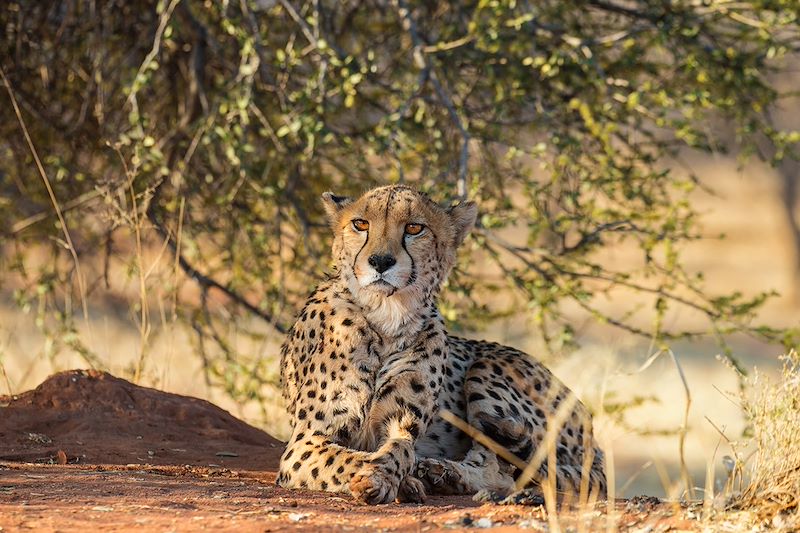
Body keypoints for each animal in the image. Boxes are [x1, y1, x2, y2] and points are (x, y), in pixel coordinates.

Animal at [276, 185, 608, 500]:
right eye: (360, 224)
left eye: (414, 228)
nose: (380, 261)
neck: (387, 318)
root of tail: (590, 427)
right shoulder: (305, 442)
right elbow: (351, 457)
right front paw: (387, 479)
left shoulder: (401, 424)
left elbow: (401, 449)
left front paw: (386, 478)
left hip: (487, 368)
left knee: (499, 468)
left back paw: (444, 473)